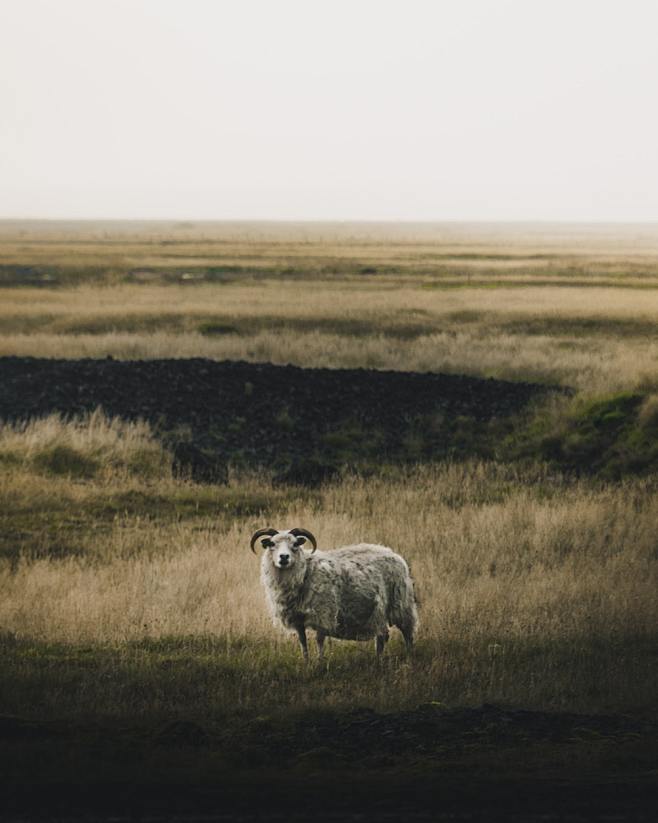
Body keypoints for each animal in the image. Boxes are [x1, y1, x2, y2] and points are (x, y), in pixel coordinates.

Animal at [249, 528, 418, 664]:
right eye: (272, 544)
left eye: (295, 544)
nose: (284, 557)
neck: (305, 572)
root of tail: (393, 553)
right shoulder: (297, 619)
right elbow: (302, 641)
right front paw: (306, 662)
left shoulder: (323, 613)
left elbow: (319, 640)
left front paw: (320, 662)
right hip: (378, 612)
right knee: (382, 636)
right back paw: (378, 659)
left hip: (401, 604)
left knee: (407, 632)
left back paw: (409, 657)